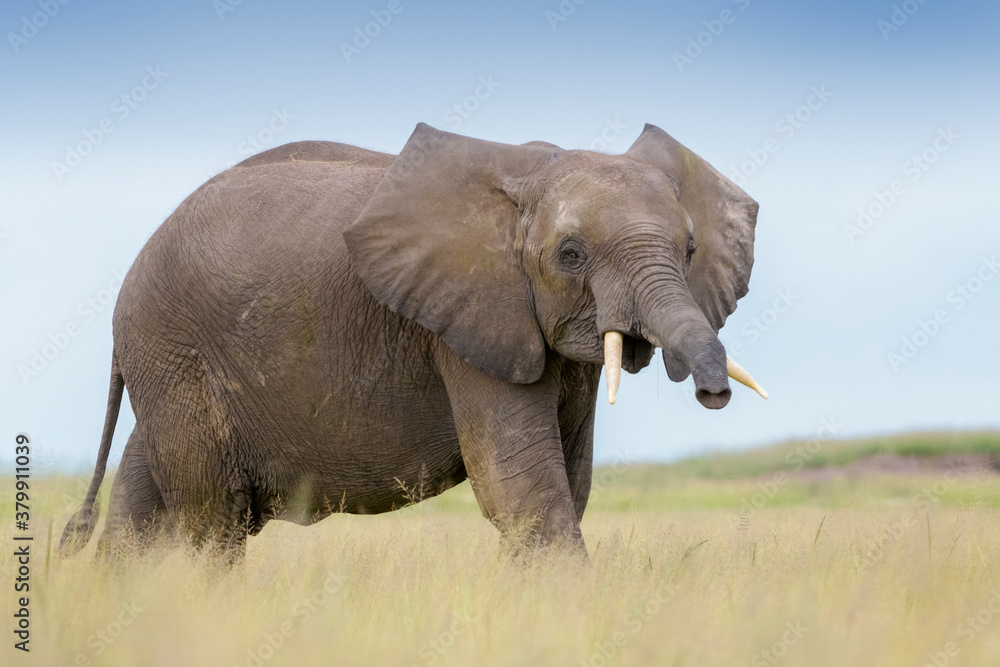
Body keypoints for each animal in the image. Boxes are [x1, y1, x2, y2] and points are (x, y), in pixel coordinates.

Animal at [61, 122, 764, 558]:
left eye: (691, 249)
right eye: (570, 254)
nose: (713, 394)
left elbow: (569, 480)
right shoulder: (468, 322)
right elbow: (521, 486)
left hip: (171, 362)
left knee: (148, 497)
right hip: (172, 346)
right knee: (212, 518)